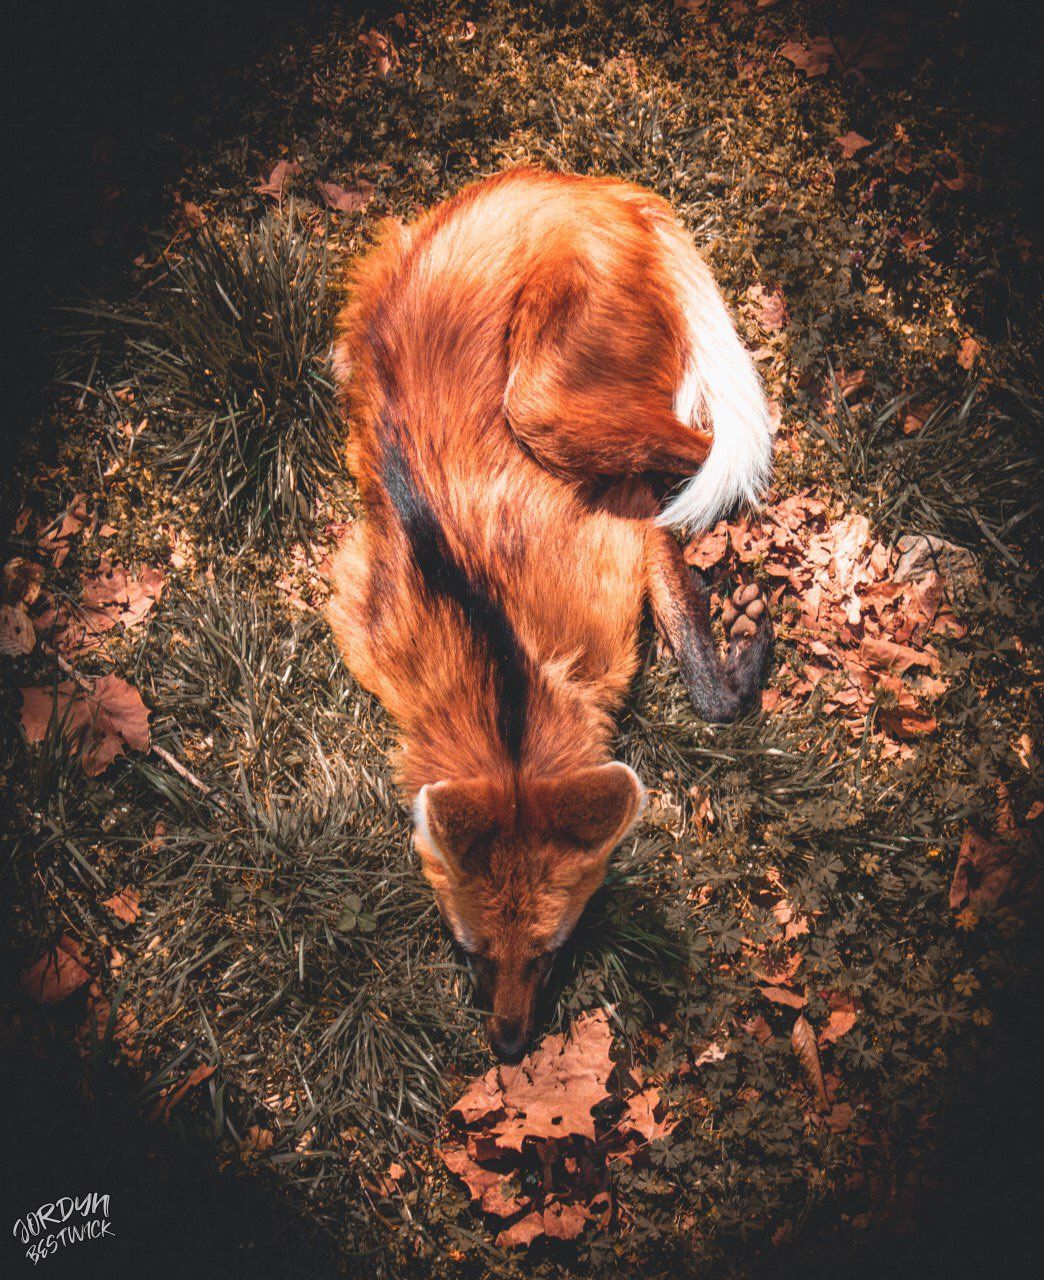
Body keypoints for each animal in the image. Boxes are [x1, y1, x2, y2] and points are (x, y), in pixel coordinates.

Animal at [327, 168, 773, 1061]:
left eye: (550, 954)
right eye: (471, 952)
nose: (507, 1046)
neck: (503, 677)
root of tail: (582, 187)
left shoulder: (611, 545)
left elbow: (664, 560)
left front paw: (727, 667)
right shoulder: (359, 603)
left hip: (543, 403)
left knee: (719, 449)